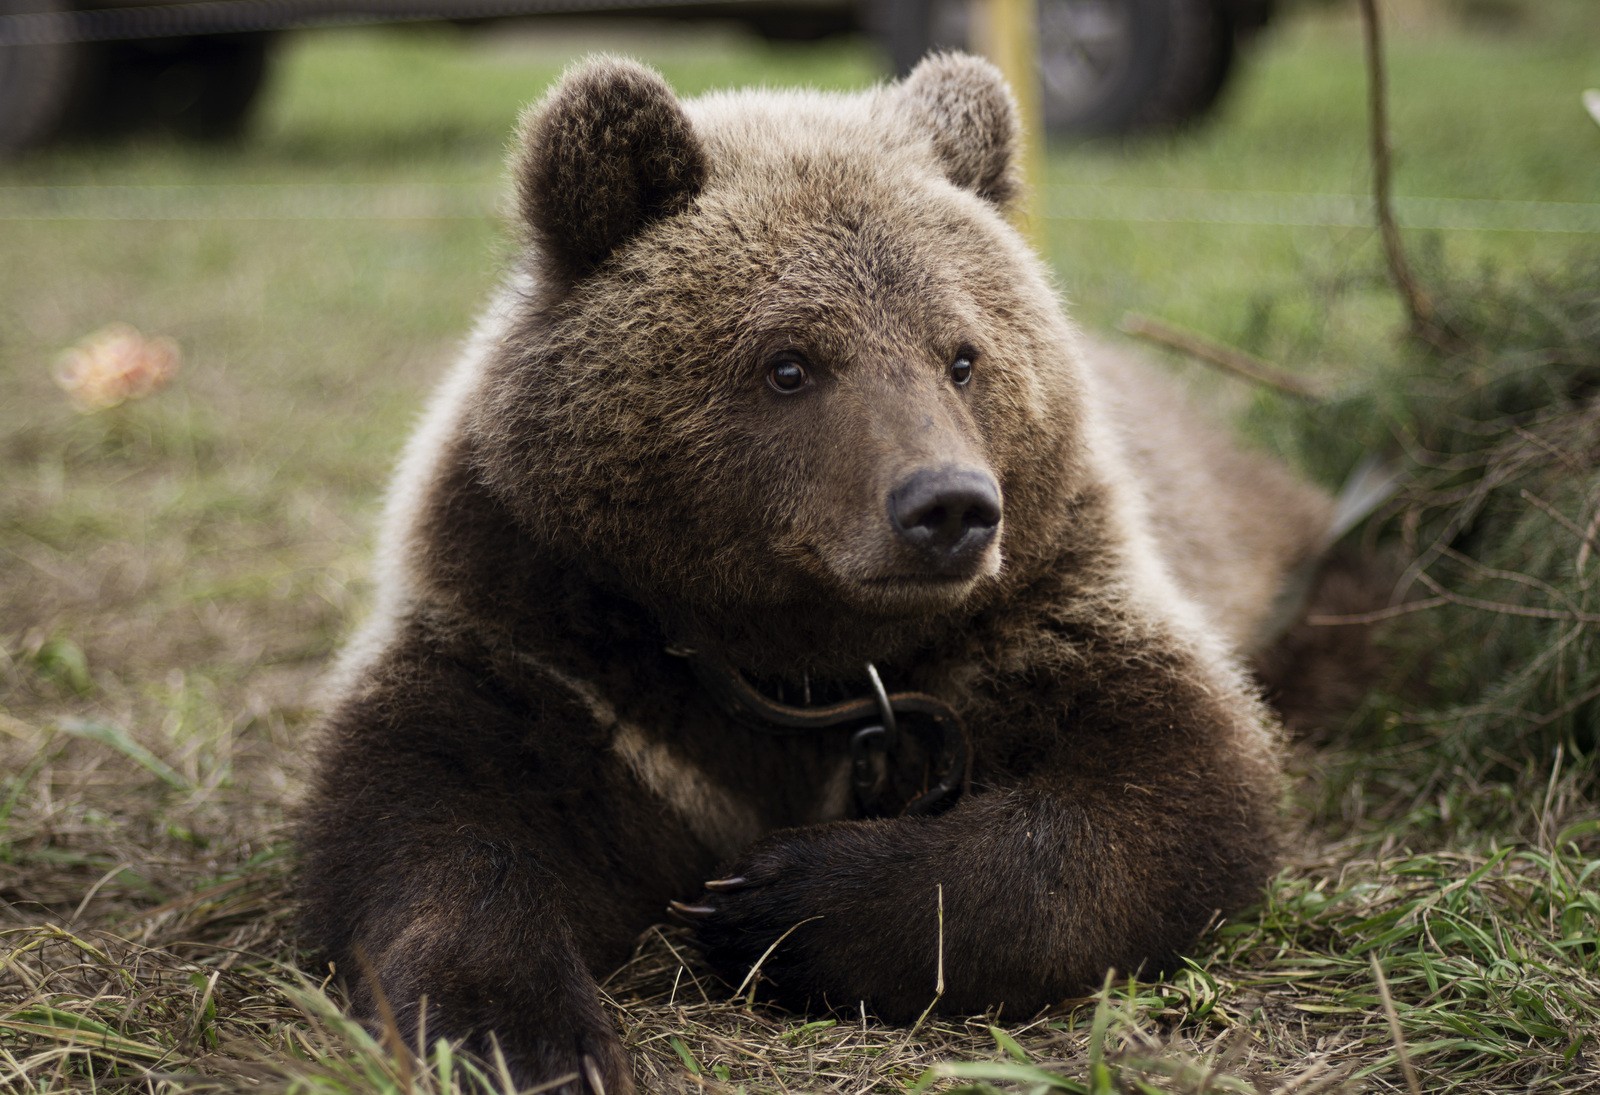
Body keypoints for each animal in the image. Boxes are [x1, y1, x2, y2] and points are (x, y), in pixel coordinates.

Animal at [297, 53, 1337, 1095]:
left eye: (963, 356)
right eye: (789, 363)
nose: (948, 507)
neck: (783, 652)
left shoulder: (1041, 604)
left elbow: (1167, 784)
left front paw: (773, 902)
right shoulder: (542, 629)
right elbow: (437, 805)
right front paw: (516, 1037)